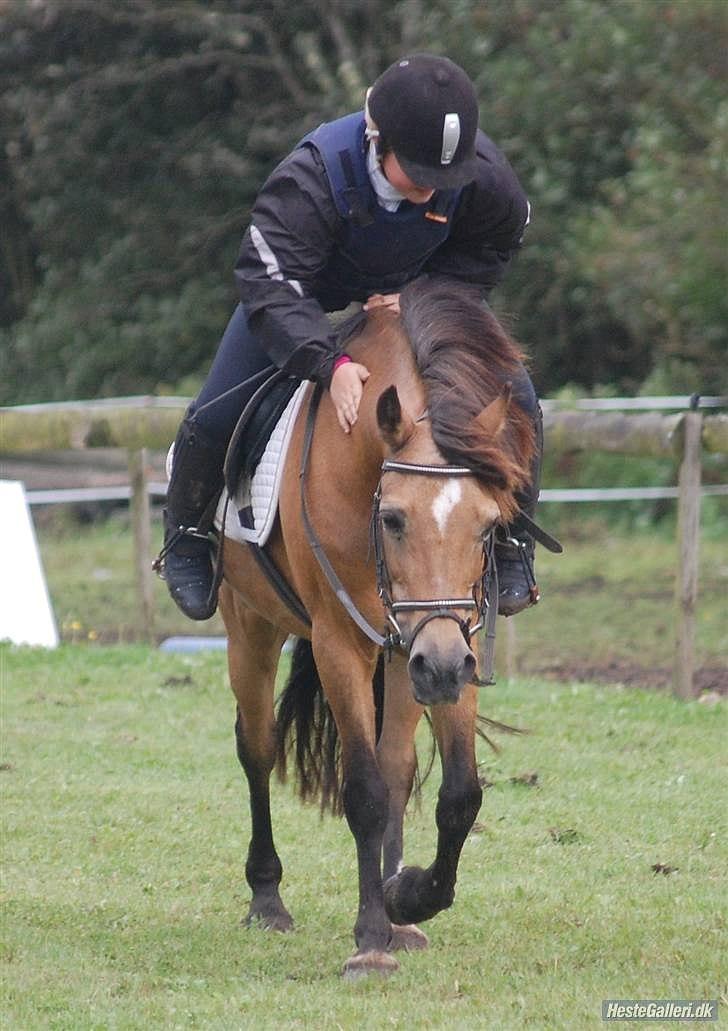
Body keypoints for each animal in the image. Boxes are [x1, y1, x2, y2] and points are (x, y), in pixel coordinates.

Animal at [215, 276, 532, 973]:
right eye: (392, 518)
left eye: (491, 524)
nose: (440, 666)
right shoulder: (342, 643)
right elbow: (361, 791)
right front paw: (369, 942)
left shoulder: (451, 640)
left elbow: (455, 793)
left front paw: (406, 899)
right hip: (250, 626)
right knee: (257, 745)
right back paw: (267, 899)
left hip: (406, 655)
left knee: (397, 768)